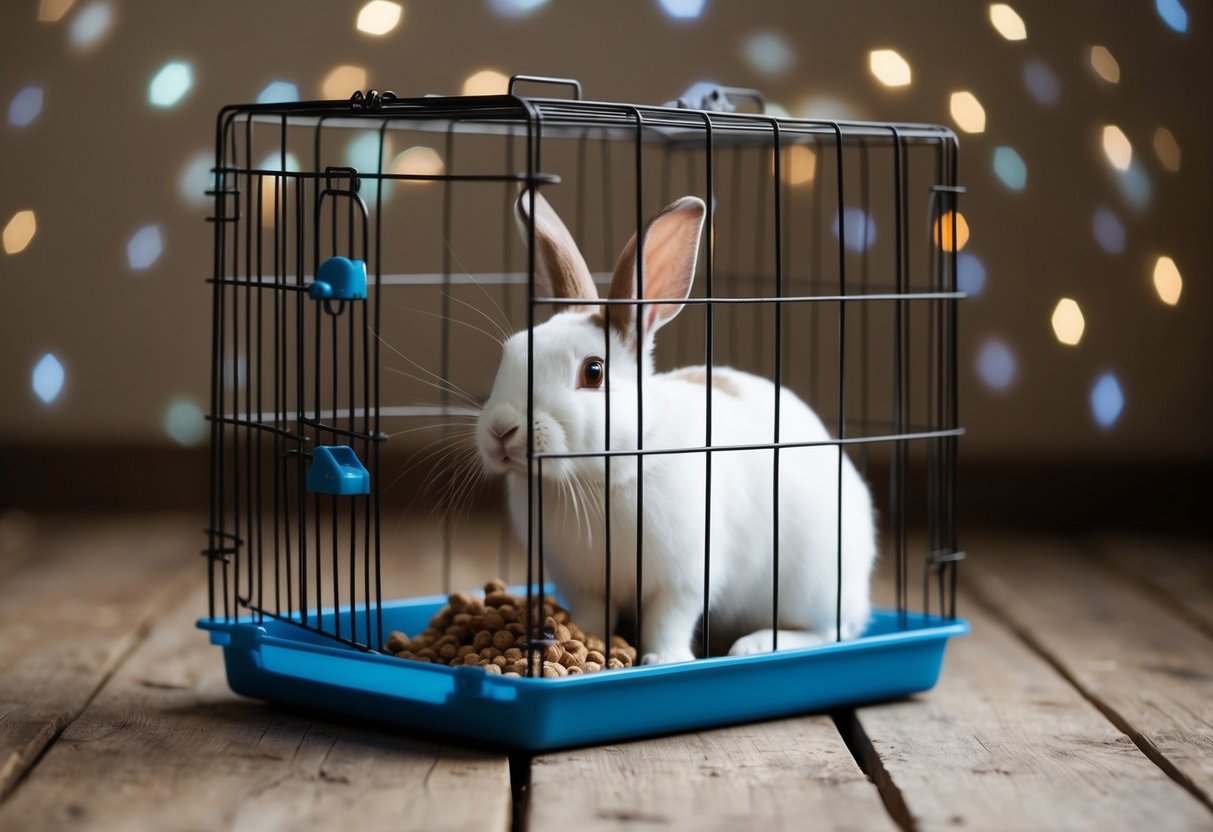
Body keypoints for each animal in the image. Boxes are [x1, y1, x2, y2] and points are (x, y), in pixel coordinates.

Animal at [476, 189, 876, 664]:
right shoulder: (584, 584)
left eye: (593, 372)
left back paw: (755, 645)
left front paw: (663, 660)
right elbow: (592, 617)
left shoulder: (682, 579)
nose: (502, 430)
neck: (599, 476)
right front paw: (586, 644)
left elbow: (667, 621)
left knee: (833, 632)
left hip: (812, 585)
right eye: (509, 353)